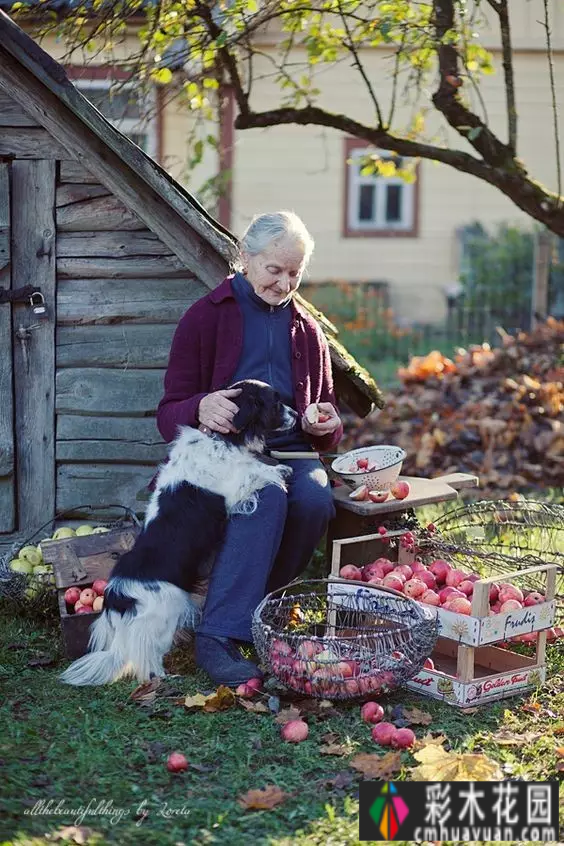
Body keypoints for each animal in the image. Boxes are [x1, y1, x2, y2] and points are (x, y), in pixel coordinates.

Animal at [59, 384, 294, 688]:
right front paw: (280, 470)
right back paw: (164, 677)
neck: (221, 439)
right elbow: (254, 470)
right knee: (146, 657)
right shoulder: (235, 486)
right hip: (165, 613)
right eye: (275, 403)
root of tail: (121, 602)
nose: (296, 414)